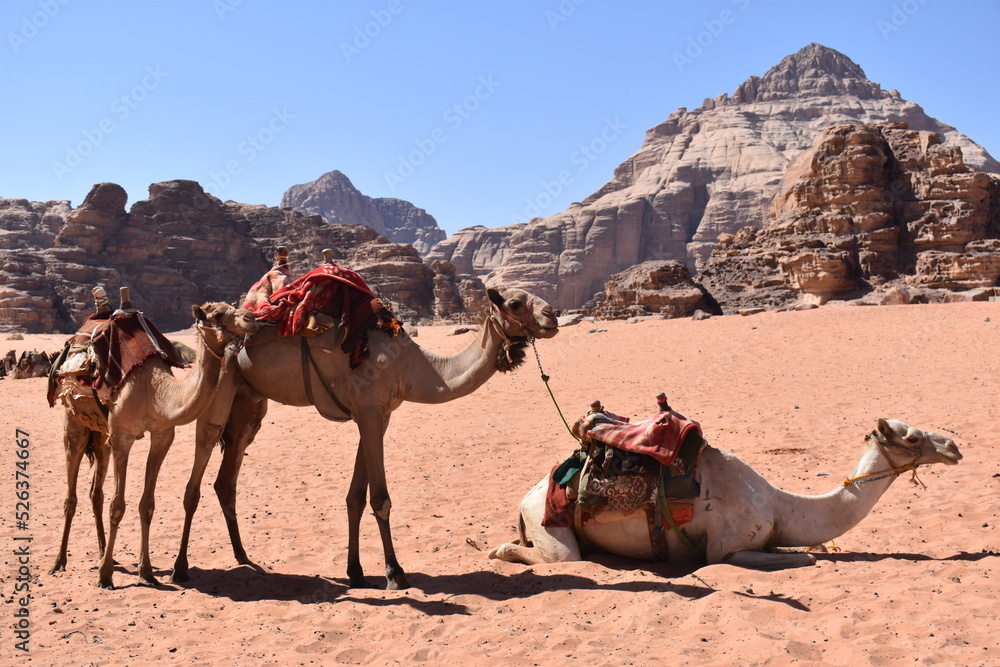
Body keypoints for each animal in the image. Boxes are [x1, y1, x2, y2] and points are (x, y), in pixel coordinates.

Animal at [49, 302, 259, 588]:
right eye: (216, 314)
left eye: (233, 307)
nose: (251, 318)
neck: (155, 392)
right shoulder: (122, 436)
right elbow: (118, 506)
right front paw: (105, 576)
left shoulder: (161, 435)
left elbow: (146, 504)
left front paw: (145, 572)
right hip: (74, 422)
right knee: (71, 496)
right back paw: (59, 562)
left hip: (100, 432)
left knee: (96, 492)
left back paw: (104, 554)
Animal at [171, 287, 559, 589]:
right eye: (514, 303)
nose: (552, 315)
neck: (413, 368)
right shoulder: (370, 413)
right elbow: (380, 499)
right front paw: (394, 572)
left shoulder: (377, 416)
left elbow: (355, 498)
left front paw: (355, 571)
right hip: (219, 385)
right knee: (199, 466)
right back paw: (180, 569)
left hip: (249, 402)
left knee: (227, 478)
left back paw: (243, 557)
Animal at [489, 418, 962, 569]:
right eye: (913, 437)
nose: (953, 446)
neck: (779, 504)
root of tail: (527, 496)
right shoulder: (726, 548)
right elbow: (805, 557)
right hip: (549, 522)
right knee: (563, 558)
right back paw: (500, 551)